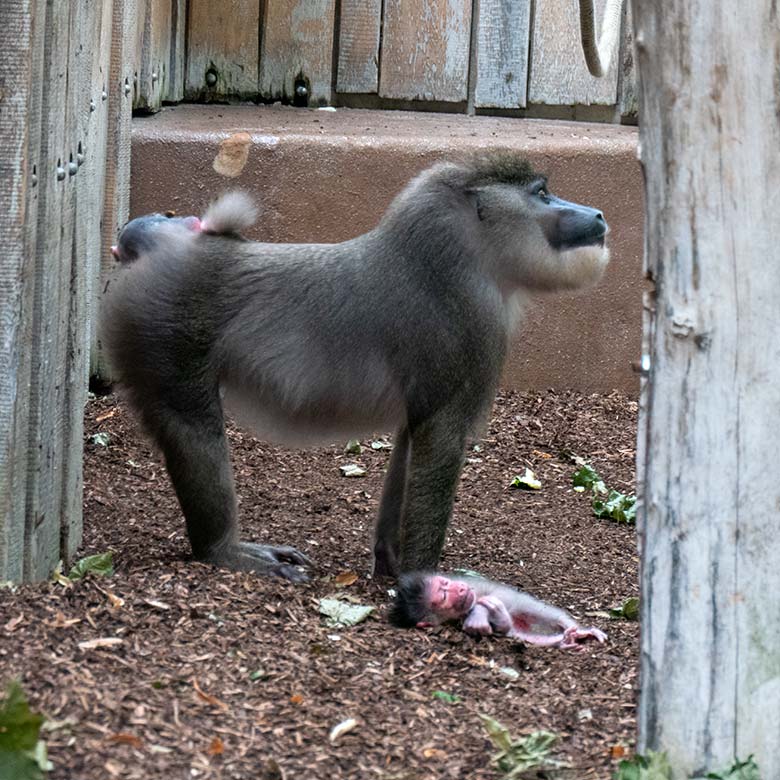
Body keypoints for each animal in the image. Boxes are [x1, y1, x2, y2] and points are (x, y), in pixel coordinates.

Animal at [100, 154, 608, 580]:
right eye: (542, 194)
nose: (599, 214)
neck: (465, 255)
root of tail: (171, 246)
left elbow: (411, 441)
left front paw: (391, 562)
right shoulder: (468, 334)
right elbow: (440, 439)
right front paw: (427, 583)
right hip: (163, 339)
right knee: (192, 427)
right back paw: (224, 550)